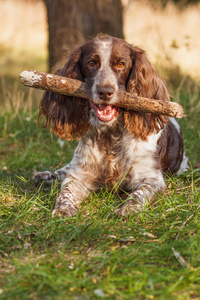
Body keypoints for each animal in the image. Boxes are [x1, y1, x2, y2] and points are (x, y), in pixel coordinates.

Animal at [33, 35, 188, 216]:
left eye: (121, 64)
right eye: (91, 63)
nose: (105, 92)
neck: (111, 134)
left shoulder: (152, 179)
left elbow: (139, 195)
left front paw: (127, 209)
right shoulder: (79, 175)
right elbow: (66, 192)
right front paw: (62, 210)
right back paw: (44, 176)